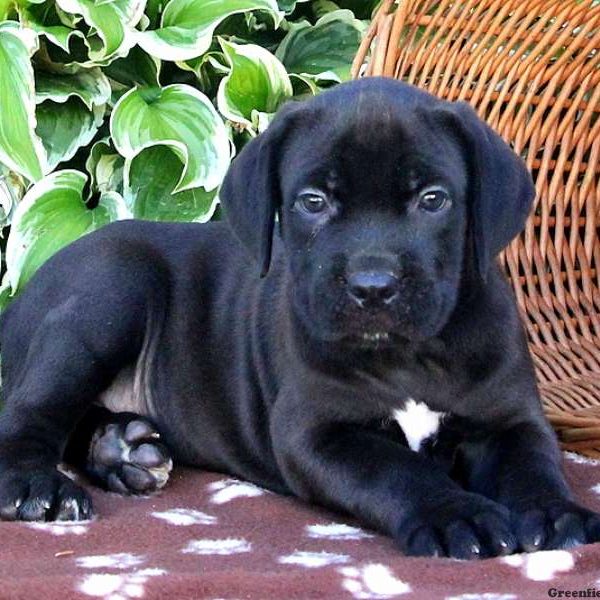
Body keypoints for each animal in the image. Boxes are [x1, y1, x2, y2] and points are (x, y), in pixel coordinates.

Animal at [1, 77, 600, 560]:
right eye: (313, 201)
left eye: (433, 199)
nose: (372, 287)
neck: (406, 354)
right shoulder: (318, 434)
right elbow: (398, 470)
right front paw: (457, 513)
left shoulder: (508, 417)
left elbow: (532, 463)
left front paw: (553, 513)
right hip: (107, 292)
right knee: (28, 411)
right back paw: (38, 487)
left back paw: (121, 449)